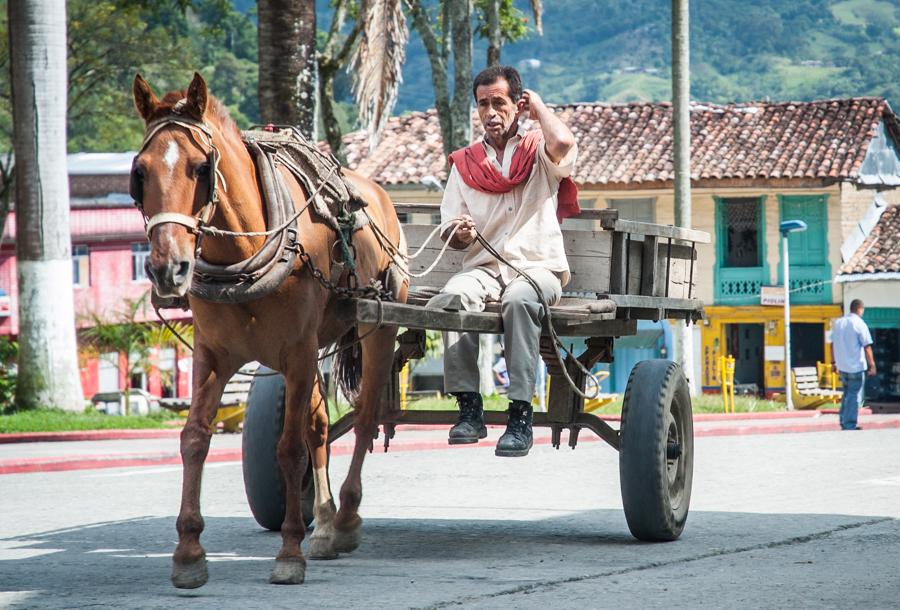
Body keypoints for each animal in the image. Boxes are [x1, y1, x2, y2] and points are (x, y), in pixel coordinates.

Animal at [129, 73, 404, 588]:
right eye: (140, 172)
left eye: (201, 168)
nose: (167, 269)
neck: (245, 253)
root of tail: (377, 193)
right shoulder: (214, 354)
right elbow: (194, 438)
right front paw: (189, 553)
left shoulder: (296, 350)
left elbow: (289, 448)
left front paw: (290, 552)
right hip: (316, 347)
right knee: (320, 426)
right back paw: (325, 524)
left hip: (377, 328)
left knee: (363, 419)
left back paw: (347, 517)